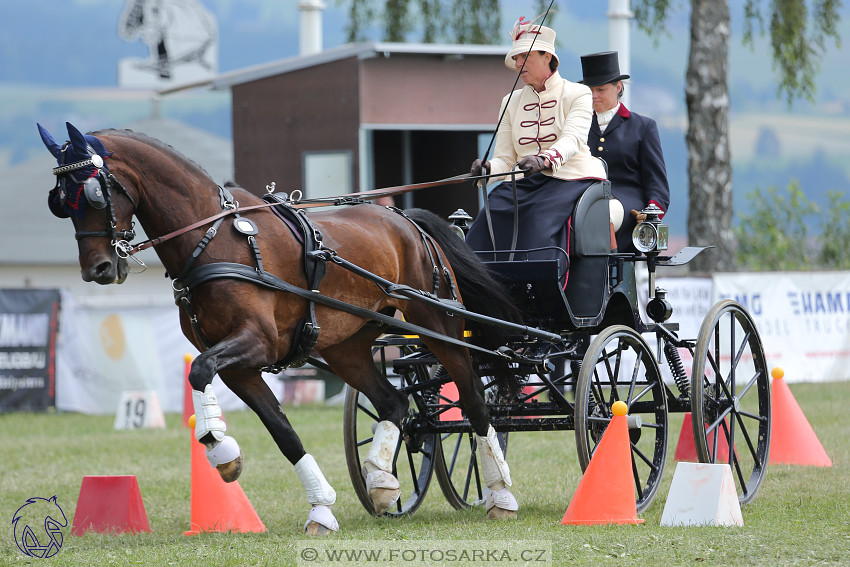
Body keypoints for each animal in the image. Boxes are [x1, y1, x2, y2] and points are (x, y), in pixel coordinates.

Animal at [38, 122, 516, 536]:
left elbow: (198, 371)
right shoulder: (239, 365)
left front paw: (218, 445)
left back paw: (499, 494)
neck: (212, 240)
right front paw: (318, 506)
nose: (98, 269)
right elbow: (282, 432)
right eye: (59, 201)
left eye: (94, 194)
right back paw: (382, 482)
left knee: (475, 401)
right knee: (394, 403)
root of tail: (409, 222)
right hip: (347, 346)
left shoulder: (257, 343)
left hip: (437, 324)